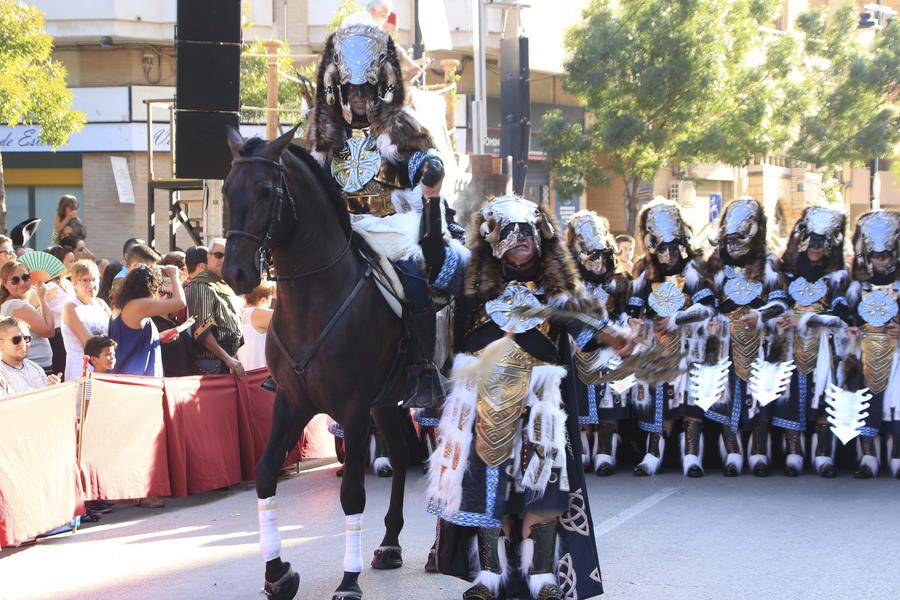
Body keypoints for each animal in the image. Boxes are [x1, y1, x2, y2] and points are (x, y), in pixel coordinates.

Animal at [223, 124, 410, 596]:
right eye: (228, 189)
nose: (235, 273)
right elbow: (265, 472)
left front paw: (349, 580)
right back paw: (391, 543)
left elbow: (352, 495)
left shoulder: (354, 408)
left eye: (266, 190)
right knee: (401, 457)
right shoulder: (292, 401)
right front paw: (277, 573)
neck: (314, 299)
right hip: (388, 402)